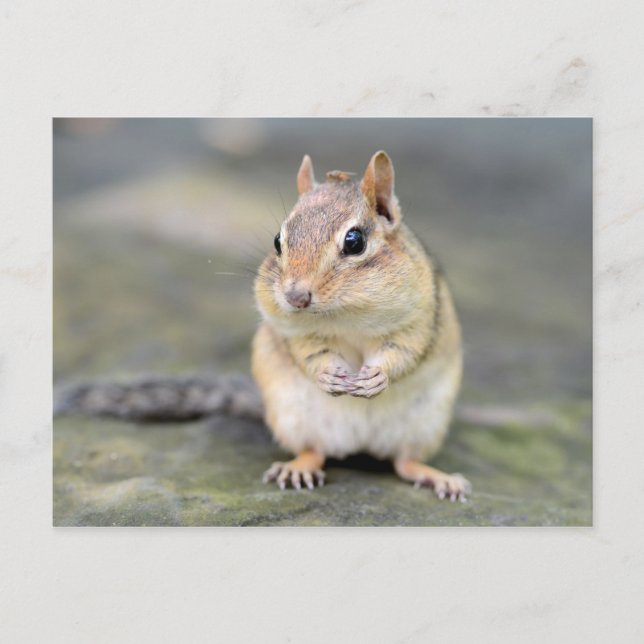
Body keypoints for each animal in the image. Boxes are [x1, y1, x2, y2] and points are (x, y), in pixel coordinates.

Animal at [252, 151, 470, 501]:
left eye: (354, 242)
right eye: (277, 241)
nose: (295, 297)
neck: (345, 315)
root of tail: (360, 443)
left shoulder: (419, 320)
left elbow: (405, 351)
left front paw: (377, 377)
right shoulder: (295, 331)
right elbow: (308, 353)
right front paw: (326, 375)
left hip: (424, 425)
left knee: (405, 463)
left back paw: (440, 479)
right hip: (292, 418)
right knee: (315, 451)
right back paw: (298, 468)